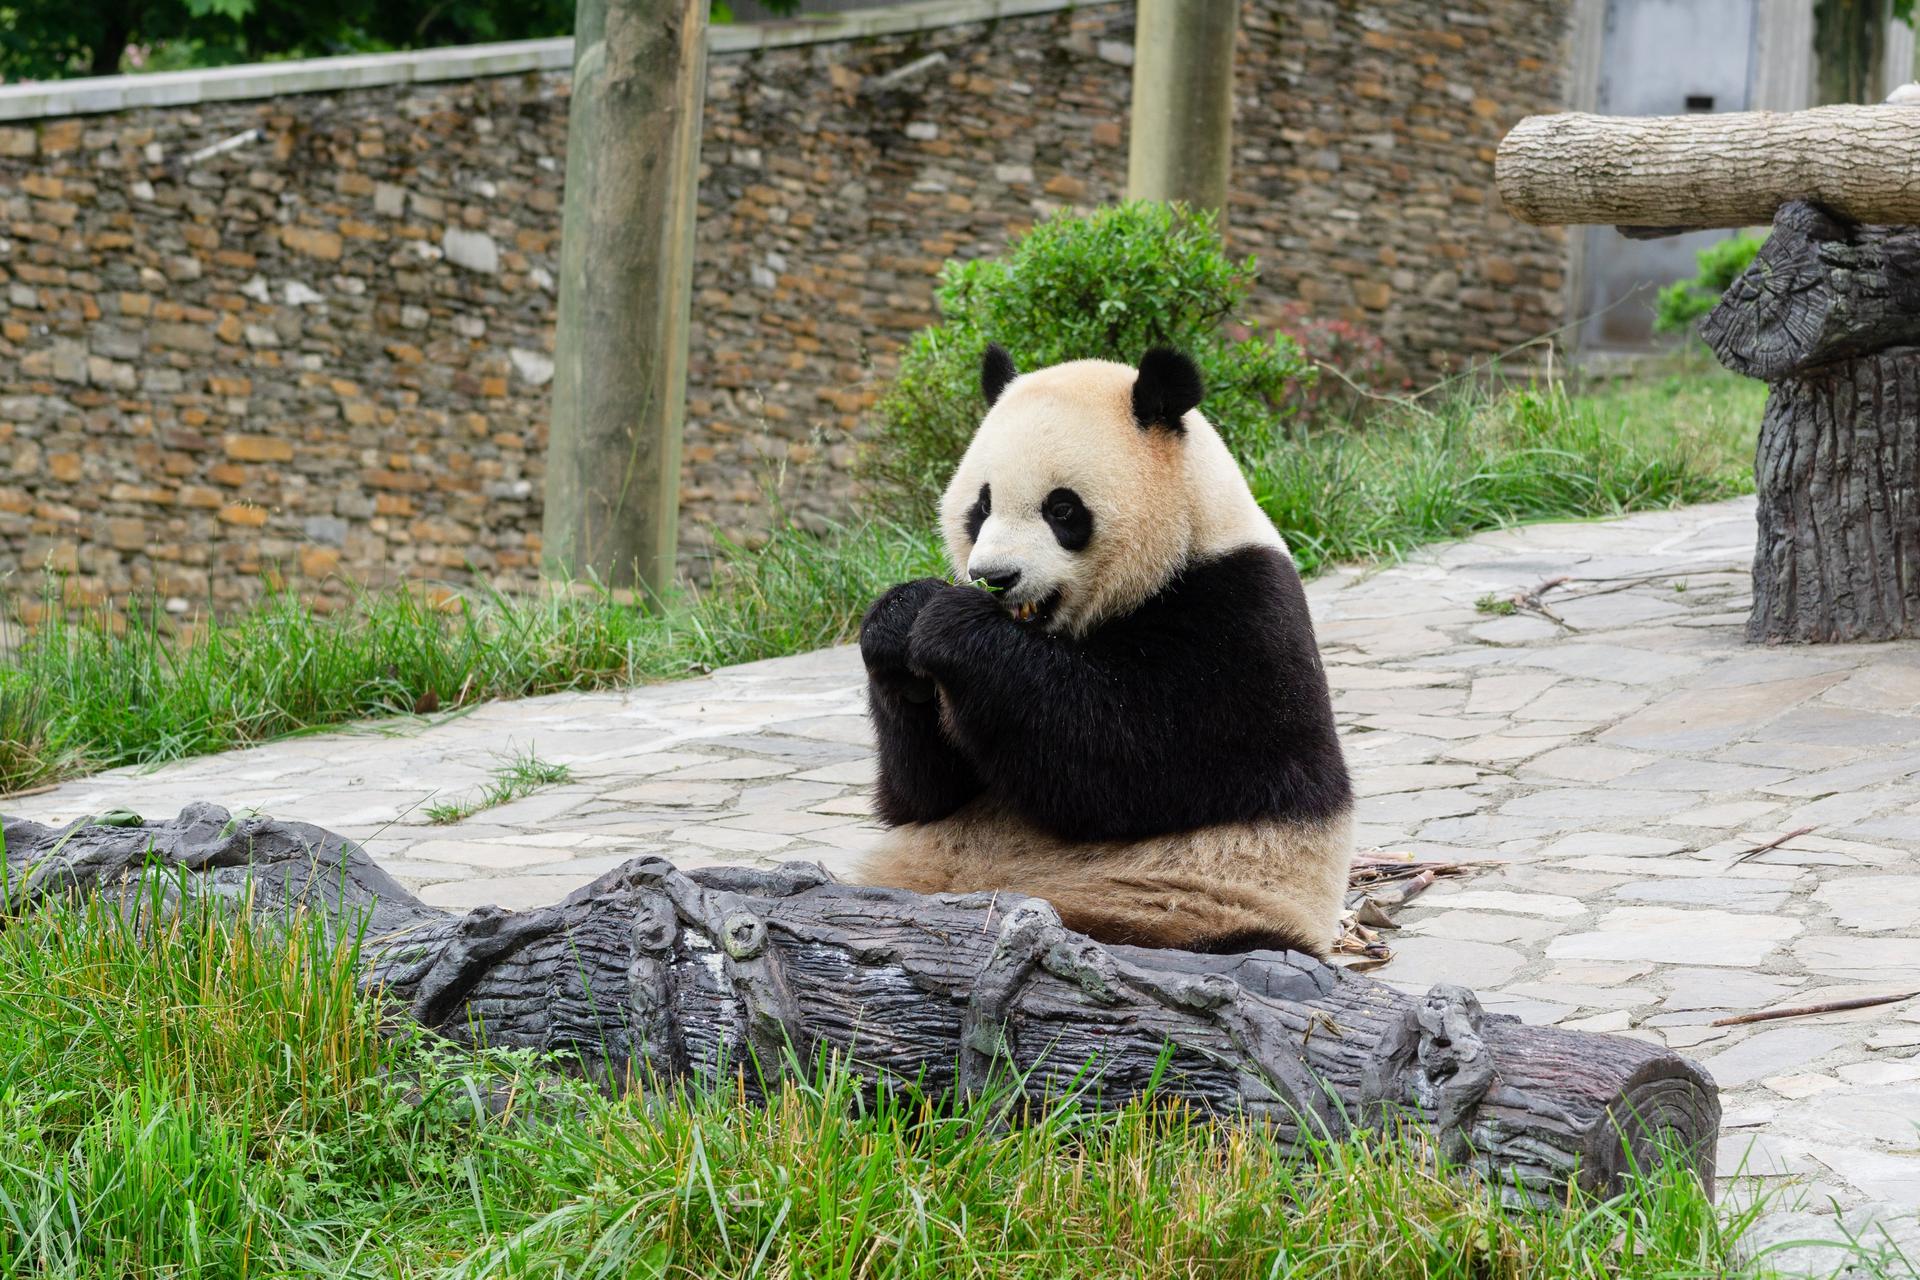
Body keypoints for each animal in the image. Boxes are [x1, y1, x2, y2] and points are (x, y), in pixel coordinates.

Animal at [853, 344, 1353, 957]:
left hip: (1202, 905)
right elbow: (924, 797)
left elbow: (1129, 760)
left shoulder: (1242, 615)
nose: (995, 577)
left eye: (1062, 509)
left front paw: (952, 627)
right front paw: (899, 619)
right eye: (981, 506)